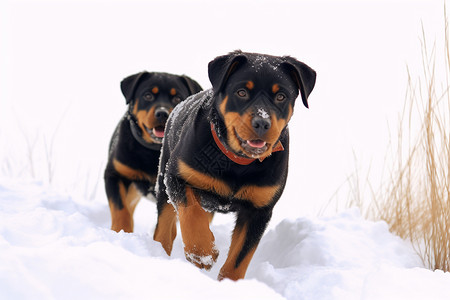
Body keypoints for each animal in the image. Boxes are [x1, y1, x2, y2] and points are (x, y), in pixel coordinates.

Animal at [103, 71, 202, 233]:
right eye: (148, 95)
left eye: (177, 98)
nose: (162, 113)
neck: (153, 151)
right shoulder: (115, 174)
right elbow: (120, 209)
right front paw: (121, 231)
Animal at [155, 50, 316, 280]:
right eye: (241, 92)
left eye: (281, 96)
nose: (262, 122)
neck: (237, 162)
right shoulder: (178, 176)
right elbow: (191, 213)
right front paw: (202, 252)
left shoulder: (259, 210)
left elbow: (239, 258)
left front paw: (230, 283)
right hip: (164, 181)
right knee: (165, 227)